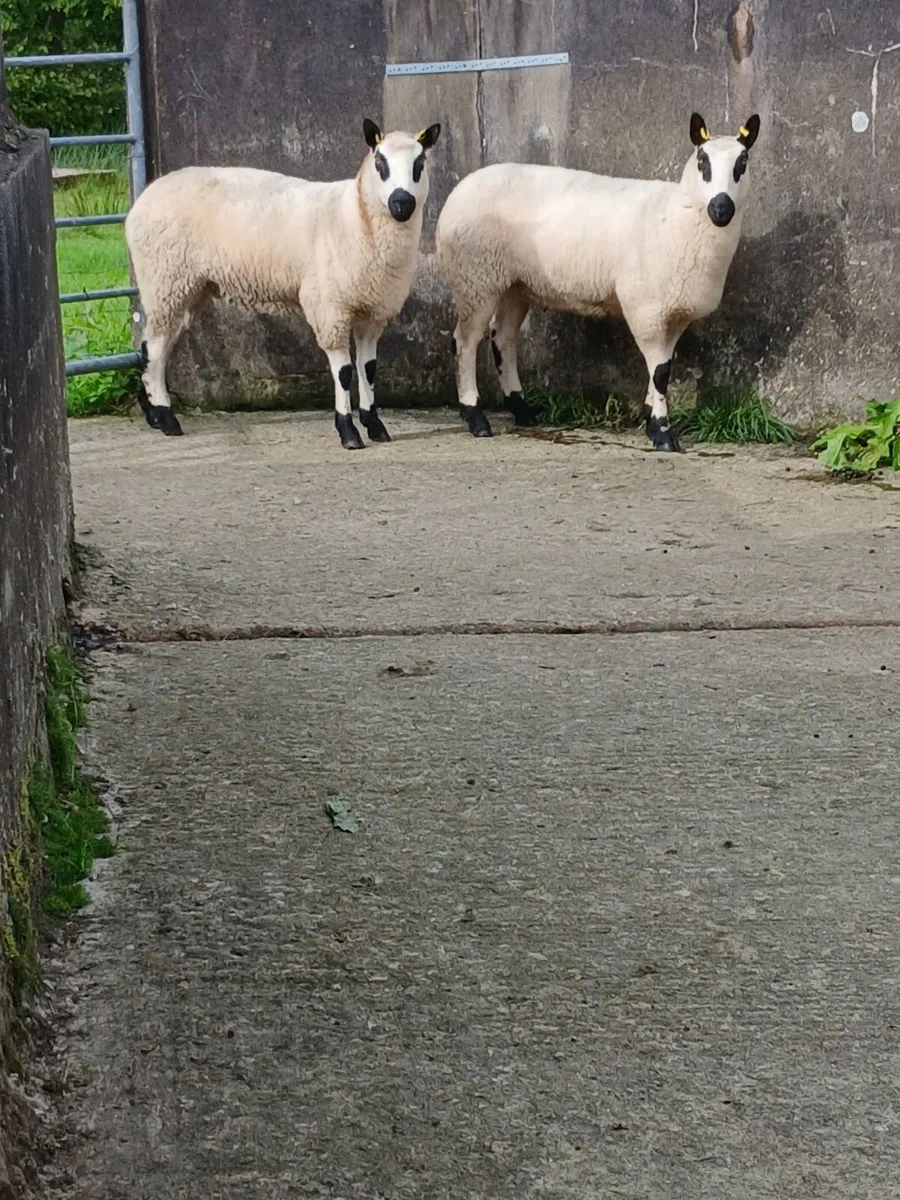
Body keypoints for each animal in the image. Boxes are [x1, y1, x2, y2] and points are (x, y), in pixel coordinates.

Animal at [125, 119, 441, 448]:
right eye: (380, 163)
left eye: (420, 163)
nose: (402, 203)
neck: (354, 216)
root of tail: (143, 199)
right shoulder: (330, 308)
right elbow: (344, 372)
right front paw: (348, 431)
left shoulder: (373, 310)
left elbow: (368, 369)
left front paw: (375, 425)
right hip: (164, 279)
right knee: (155, 348)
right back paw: (166, 417)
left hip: (187, 288)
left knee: (156, 346)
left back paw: (154, 412)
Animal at [436, 111, 761, 449]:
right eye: (702, 161)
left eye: (742, 163)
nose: (721, 208)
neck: (674, 215)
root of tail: (461, 187)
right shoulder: (645, 308)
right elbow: (659, 372)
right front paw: (662, 432)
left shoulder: (674, 313)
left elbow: (664, 368)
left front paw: (651, 420)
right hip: (475, 278)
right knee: (465, 342)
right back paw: (475, 417)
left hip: (514, 284)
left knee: (503, 340)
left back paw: (522, 410)